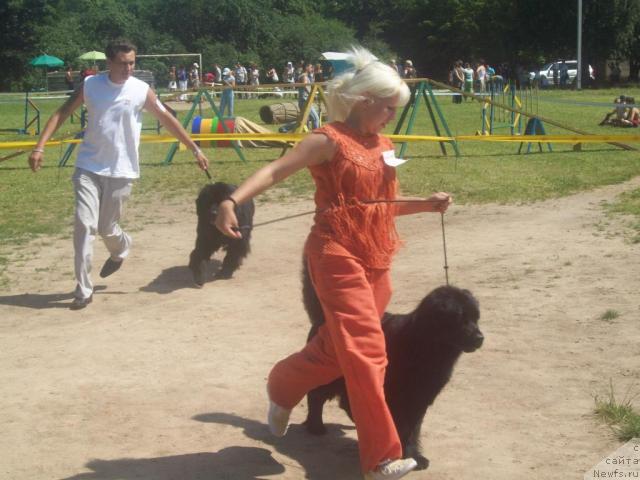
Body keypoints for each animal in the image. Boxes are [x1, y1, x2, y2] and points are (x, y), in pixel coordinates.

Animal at [302, 260, 482, 470]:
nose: (480, 337)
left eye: (476, 318)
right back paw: (316, 426)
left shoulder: (420, 397)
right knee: (316, 395)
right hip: (330, 374)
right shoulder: (395, 397)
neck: (424, 345)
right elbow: (399, 425)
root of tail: (325, 317)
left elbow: (412, 428)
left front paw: (414, 455)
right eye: (460, 319)